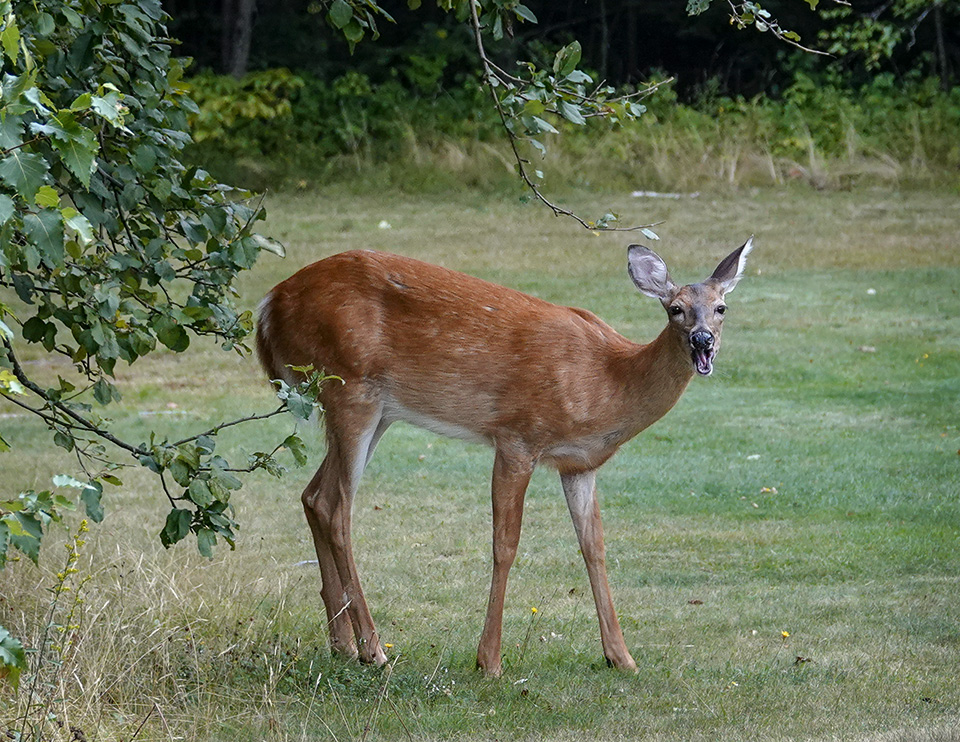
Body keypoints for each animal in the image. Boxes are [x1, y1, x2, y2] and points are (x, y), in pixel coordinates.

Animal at [255, 240, 752, 680]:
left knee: (313, 495)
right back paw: (373, 650)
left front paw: (621, 657)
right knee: (337, 506)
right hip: (348, 386)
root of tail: (267, 308)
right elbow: (505, 544)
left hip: (375, 409)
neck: (606, 381)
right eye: (676, 309)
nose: (702, 341)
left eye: (721, 308)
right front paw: (489, 661)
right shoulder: (517, 437)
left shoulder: (579, 464)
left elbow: (594, 547)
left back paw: (342, 643)